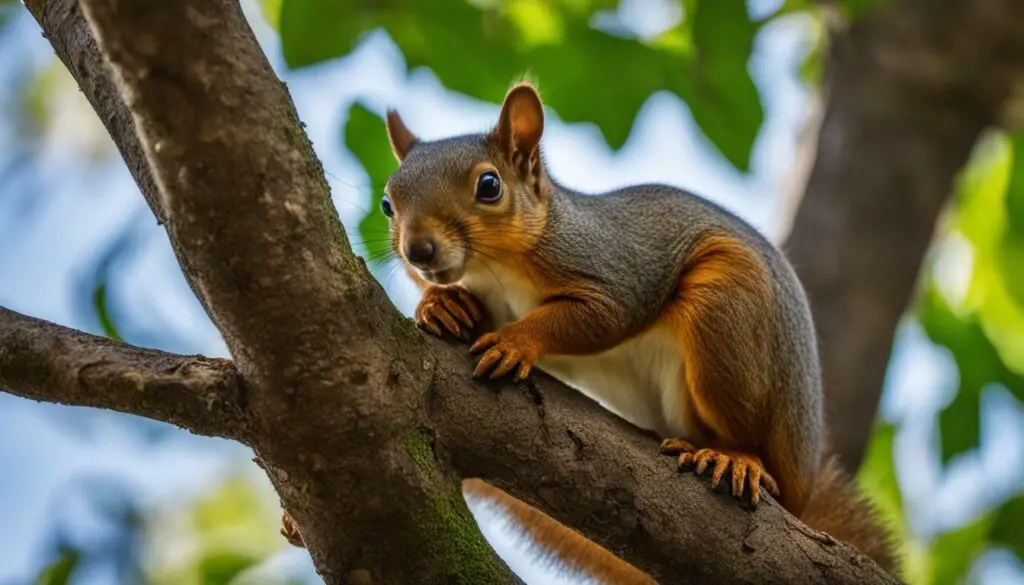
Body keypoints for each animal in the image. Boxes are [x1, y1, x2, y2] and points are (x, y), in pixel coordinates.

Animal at [286, 81, 897, 581]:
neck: (496, 268)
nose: (418, 251)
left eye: (490, 186)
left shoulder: (612, 270)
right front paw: (440, 306)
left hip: (729, 315)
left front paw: (515, 341)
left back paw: (735, 457)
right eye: (388, 203)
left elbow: (593, 318)